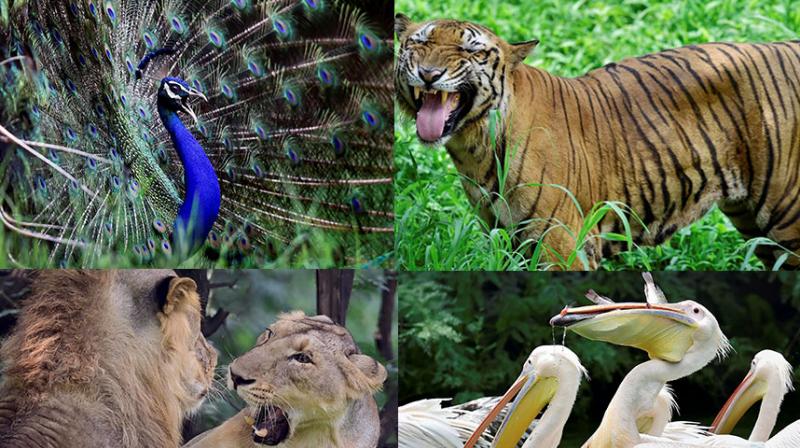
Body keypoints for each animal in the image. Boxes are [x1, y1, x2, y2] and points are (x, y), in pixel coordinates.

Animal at [396, 14, 800, 272]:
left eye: (471, 52)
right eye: (420, 42)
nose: (429, 74)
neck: (474, 147)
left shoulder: (559, 243)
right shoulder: (507, 239)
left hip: (787, 216)